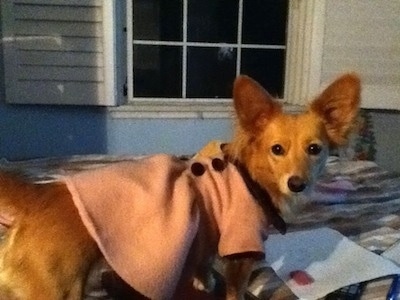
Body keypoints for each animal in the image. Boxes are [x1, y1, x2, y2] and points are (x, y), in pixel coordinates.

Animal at [0, 73, 360, 300]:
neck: (252, 176)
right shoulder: (240, 249)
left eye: (314, 149)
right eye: (277, 150)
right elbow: (236, 290)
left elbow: (203, 260)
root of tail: (40, 193)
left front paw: (203, 281)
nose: (297, 184)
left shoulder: (208, 234)